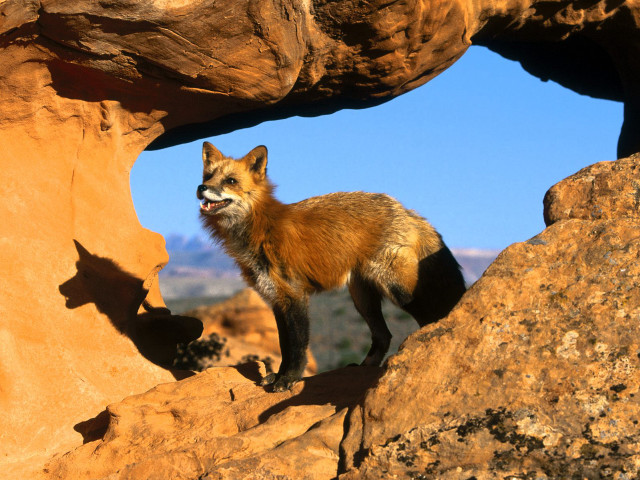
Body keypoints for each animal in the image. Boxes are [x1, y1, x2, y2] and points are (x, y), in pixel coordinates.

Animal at [197, 142, 466, 392]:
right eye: (207, 176)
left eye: (230, 180)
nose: (201, 189)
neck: (261, 227)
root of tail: (403, 209)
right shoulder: (276, 299)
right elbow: (284, 346)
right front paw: (278, 376)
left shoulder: (295, 296)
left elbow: (297, 347)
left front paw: (289, 379)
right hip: (362, 298)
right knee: (383, 335)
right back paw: (365, 367)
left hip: (398, 289)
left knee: (429, 319)